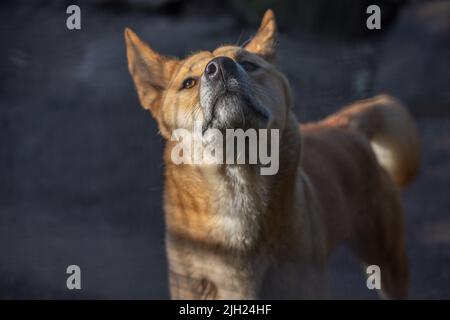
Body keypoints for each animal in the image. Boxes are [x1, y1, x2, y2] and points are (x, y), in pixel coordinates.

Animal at [125, 10, 420, 300]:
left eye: (248, 65)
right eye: (188, 83)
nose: (220, 66)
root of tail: (346, 124)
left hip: (388, 263)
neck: (239, 182)